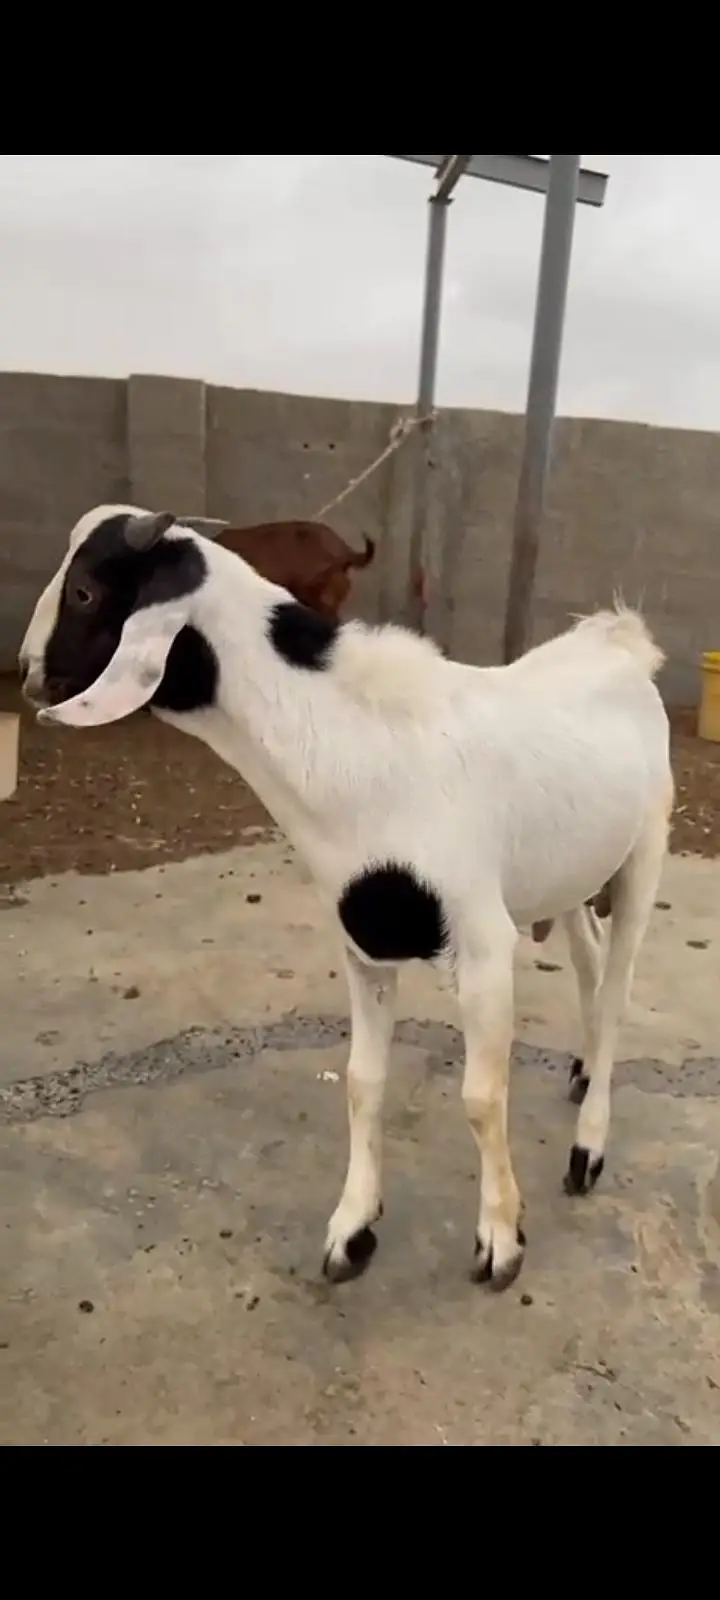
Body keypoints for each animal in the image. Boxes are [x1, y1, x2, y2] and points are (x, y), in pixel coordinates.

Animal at [19, 505, 673, 1292]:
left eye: (86, 591)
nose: (28, 674)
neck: (356, 742)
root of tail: (618, 639)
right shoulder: (363, 942)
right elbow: (362, 1082)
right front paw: (353, 1231)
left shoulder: (483, 943)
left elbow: (482, 1098)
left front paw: (500, 1240)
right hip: (568, 871)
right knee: (590, 962)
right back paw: (578, 1075)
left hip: (645, 852)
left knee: (616, 995)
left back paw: (587, 1149)